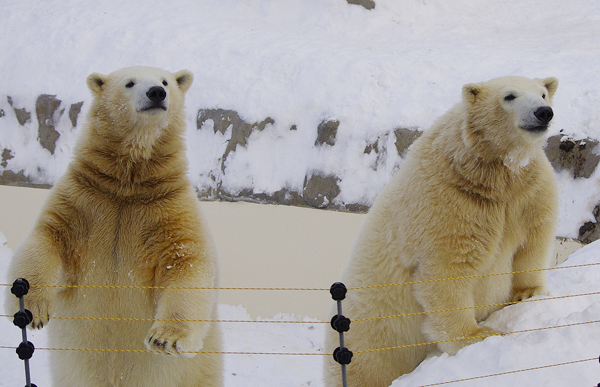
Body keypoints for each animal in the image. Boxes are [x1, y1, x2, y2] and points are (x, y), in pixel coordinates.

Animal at [5, 66, 223, 387]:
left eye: (166, 81)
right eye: (130, 82)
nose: (156, 92)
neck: (128, 185)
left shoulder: (169, 210)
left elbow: (186, 263)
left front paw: (165, 340)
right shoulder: (84, 201)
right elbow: (48, 239)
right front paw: (32, 311)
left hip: (199, 373)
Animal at [326, 76, 560, 387]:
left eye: (543, 94)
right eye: (509, 96)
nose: (543, 112)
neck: (488, 172)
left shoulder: (527, 192)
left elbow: (533, 240)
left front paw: (528, 293)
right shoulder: (448, 201)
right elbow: (446, 271)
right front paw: (477, 336)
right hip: (371, 338)